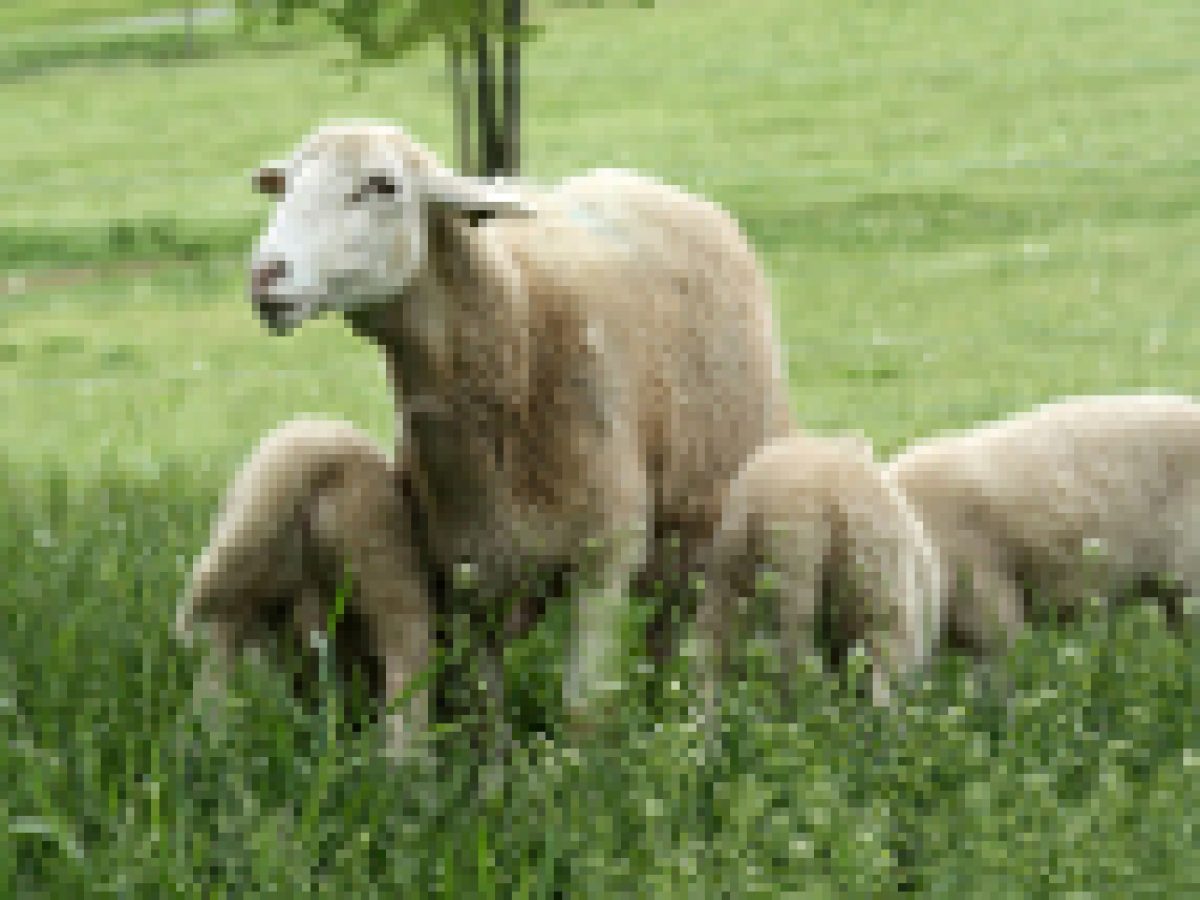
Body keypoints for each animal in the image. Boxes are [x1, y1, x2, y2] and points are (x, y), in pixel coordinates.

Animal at [174, 422, 427, 753]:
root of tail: (320, 454)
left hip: (246, 584)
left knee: (215, 677)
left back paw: (207, 745)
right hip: (386, 566)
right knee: (407, 665)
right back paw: (407, 760)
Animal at [247, 121, 792, 724]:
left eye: (382, 185)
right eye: (285, 184)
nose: (264, 274)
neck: (519, 328)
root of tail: (653, 184)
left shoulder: (606, 556)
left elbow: (582, 709)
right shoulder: (473, 564)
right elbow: (487, 706)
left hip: (704, 525)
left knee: (683, 640)